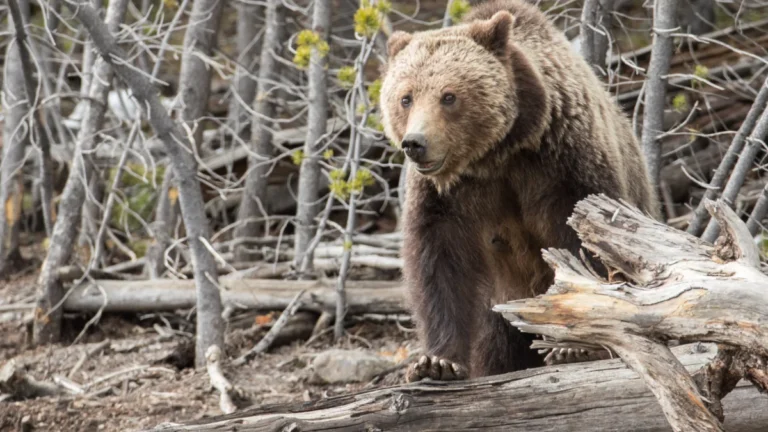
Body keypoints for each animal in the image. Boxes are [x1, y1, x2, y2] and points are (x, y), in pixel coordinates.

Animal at [378, 0, 661, 382]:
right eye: (405, 98)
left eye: (448, 96)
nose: (415, 143)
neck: (497, 154)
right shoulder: (447, 195)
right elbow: (439, 262)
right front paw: (437, 362)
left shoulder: (562, 164)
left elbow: (586, 243)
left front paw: (575, 347)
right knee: (497, 344)